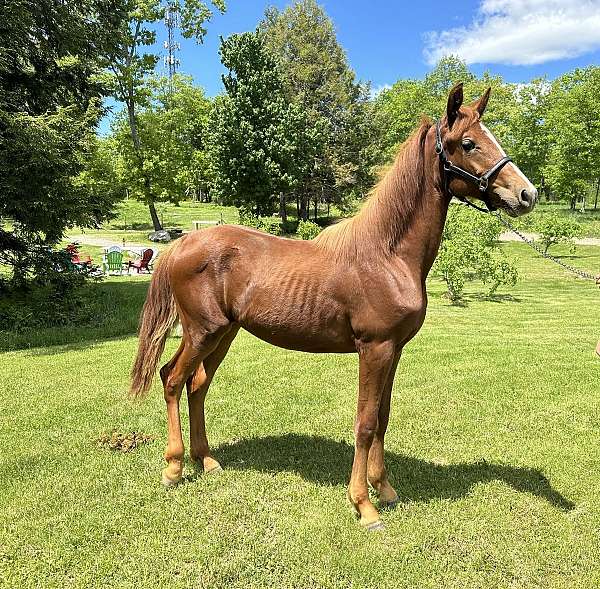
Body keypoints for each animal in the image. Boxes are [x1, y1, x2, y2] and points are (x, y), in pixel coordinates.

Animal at [130, 82, 536, 528]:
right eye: (468, 143)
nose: (526, 194)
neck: (387, 255)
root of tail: (182, 244)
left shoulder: (394, 350)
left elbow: (383, 418)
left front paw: (385, 489)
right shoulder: (374, 349)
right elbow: (365, 423)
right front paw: (364, 505)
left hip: (225, 333)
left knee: (197, 384)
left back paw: (207, 460)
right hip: (203, 331)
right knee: (171, 379)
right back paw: (174, 467)